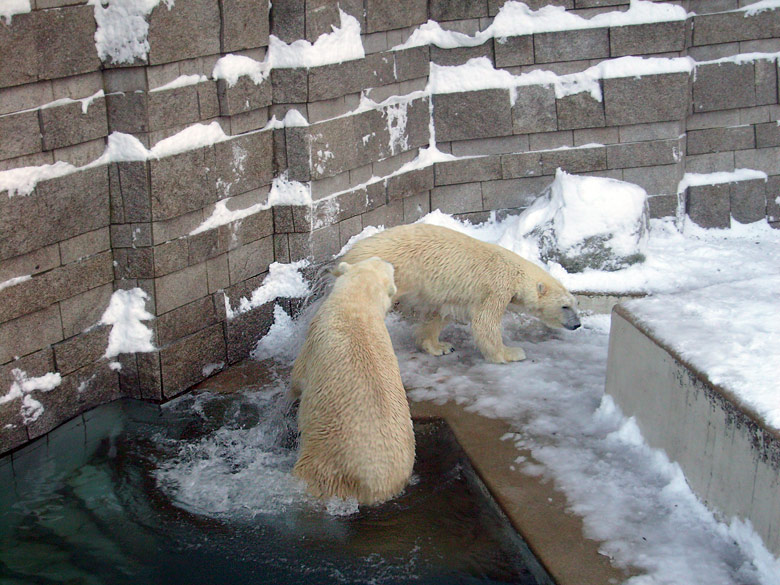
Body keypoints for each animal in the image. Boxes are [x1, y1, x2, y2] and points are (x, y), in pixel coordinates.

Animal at [290, 258, 414, 504]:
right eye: (384, 264)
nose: (386, 260)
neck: (358, 308)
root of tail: (377, 487)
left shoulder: (315, 336)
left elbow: (297, 378)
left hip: (326, 459)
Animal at [336, 222, 580, 362]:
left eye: (575, 304)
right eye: (565, 306)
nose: (577, 324)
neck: (515, 272)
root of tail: (350, 254)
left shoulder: (453, 295)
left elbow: (440, 315)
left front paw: (439, 346)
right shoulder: (496, 288)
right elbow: (485, 323)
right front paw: (511, 353)